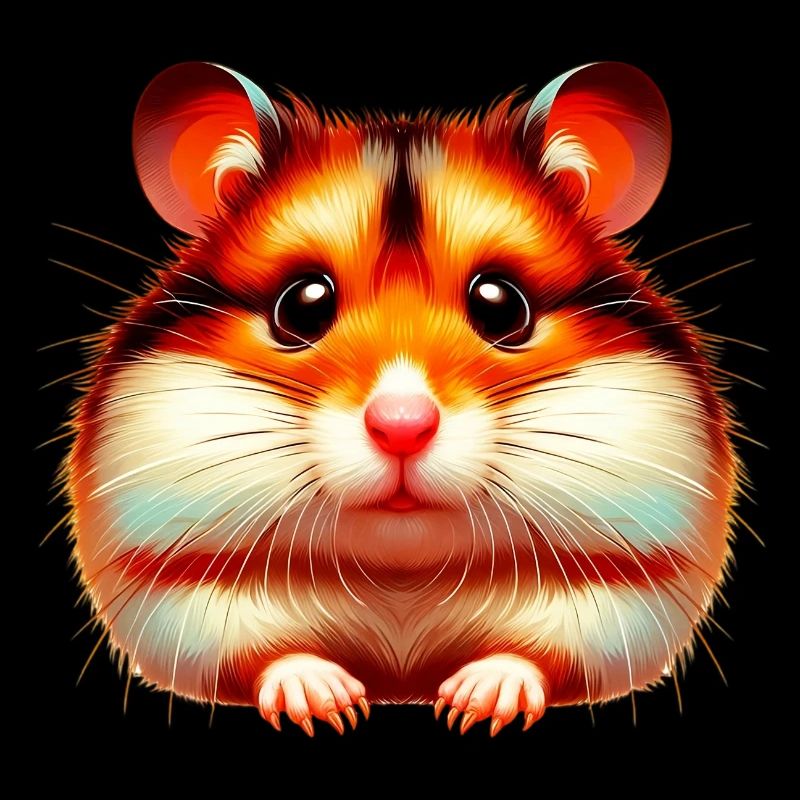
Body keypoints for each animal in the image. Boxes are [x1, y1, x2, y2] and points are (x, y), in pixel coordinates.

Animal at [64, 61, 737, 736]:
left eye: (503, 305)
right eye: (301, 305)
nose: (402, 428)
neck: (401, 579)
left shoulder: (634, 593)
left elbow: (539, 656)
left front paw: (472, 705)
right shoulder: (169, 591)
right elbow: (265, 655)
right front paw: (330, 705)